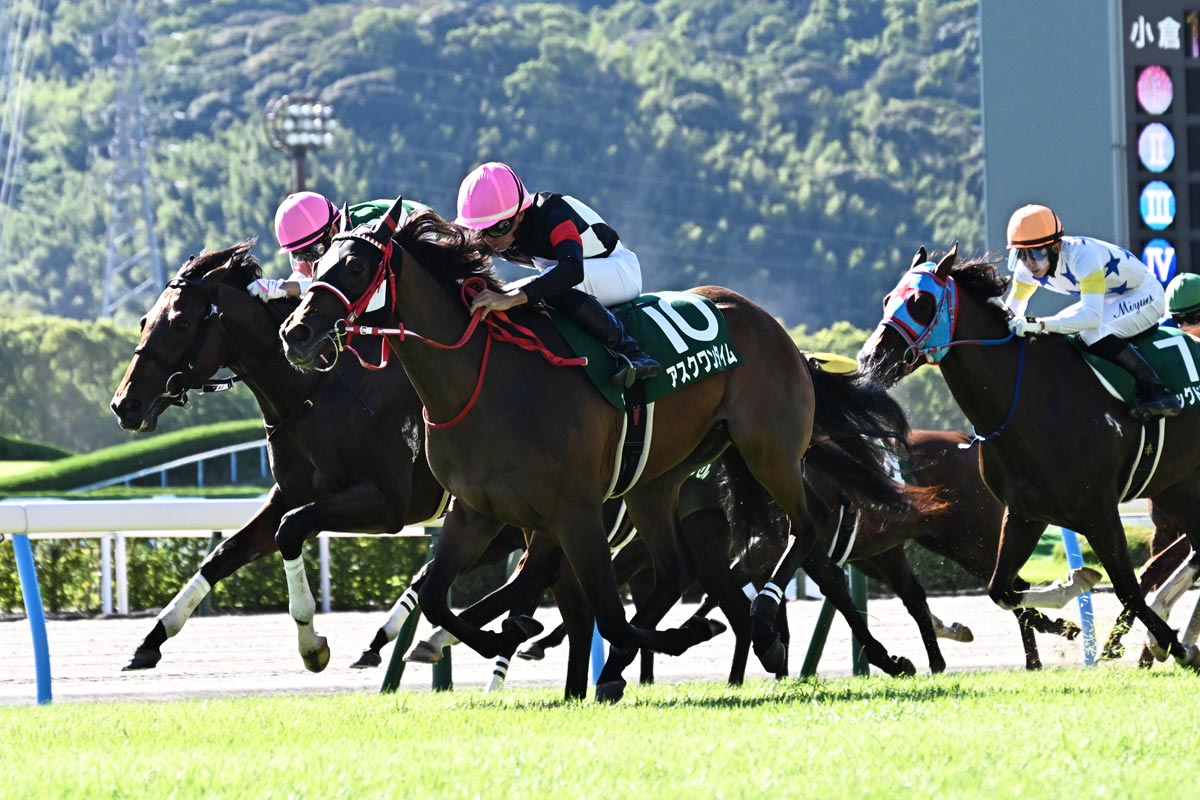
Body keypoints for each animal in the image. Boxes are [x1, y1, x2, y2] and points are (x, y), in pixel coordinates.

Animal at [280, 200, 912, 700]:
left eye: (356, 265)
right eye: (318, 264)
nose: (296, 333)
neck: (485, 383)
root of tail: (776, 330)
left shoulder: (575, 511)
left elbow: (603, 611)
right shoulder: (476, 511)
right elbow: (438, 596)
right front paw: (477, 639)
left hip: (769, 449)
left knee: (807, 531)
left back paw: (772, 622)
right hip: (659, 480)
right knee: (678, 569)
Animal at [859, 245, 1200, 671]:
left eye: (921, 302)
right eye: (888, 299)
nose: (871, 358)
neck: (1031, 402)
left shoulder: (1099, 512)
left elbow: (1128, 590)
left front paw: (1174, 646)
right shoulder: (1024, 513)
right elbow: (1000, 589)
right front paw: (1073, 586)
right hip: (1179, 486)